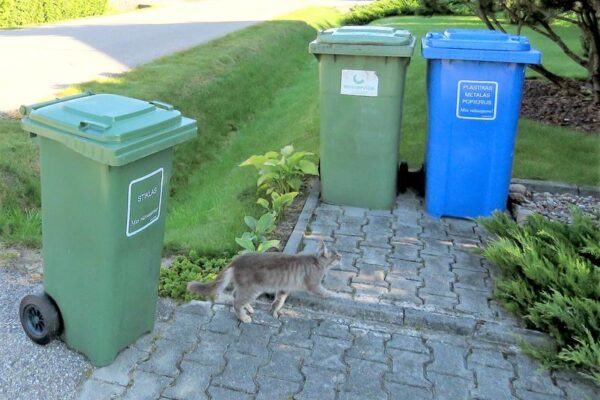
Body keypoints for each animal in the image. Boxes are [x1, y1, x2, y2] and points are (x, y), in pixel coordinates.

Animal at [185, 242, 340, 324]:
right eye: (337, 255)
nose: (342, 256)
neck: (316, 261)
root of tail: (237, 259)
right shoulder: (314, 284)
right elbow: (324, 291)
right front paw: (334, 294)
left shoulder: (283, 288)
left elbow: (278, 301)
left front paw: (274, 311)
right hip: (252, 289)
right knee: (236, 302)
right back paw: (244, 317)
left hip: (248, 288)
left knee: (235, 295)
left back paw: (249, 308)